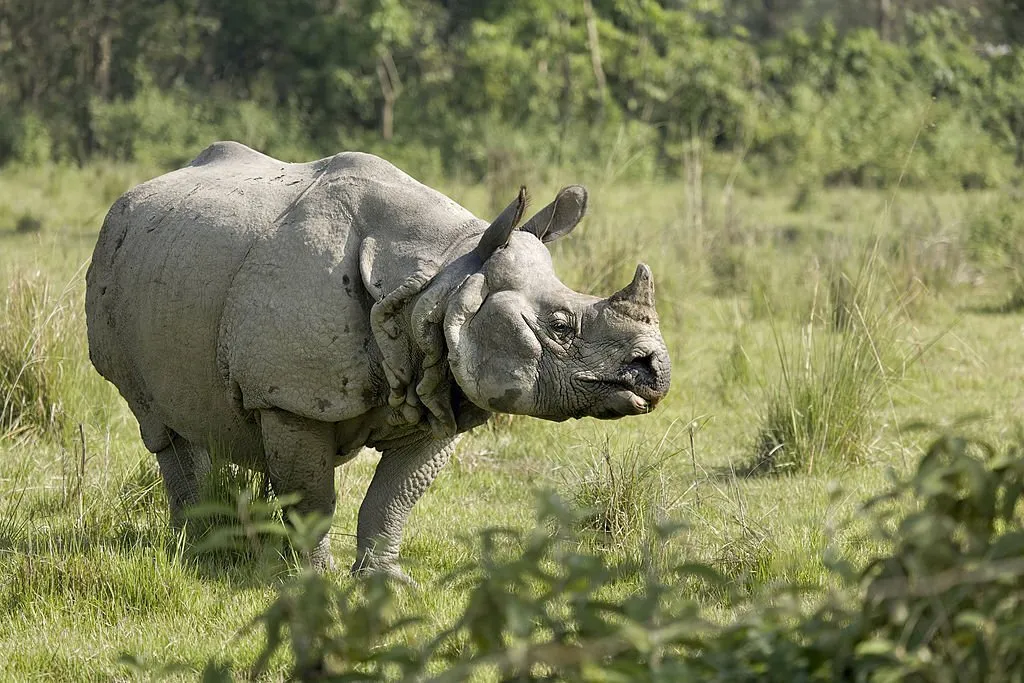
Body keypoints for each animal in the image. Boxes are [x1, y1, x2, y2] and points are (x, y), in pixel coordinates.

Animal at [88, 141, 671, 581]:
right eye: (560, 326)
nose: (656, 372)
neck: (440, 280)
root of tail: (130, 197)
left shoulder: (440, 385)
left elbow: (394, 499)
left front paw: (384, 582)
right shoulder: (290, 399)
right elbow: (313, 498)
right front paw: (314, 581)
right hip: (118, 265)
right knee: (160, 425)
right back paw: (198, 549)